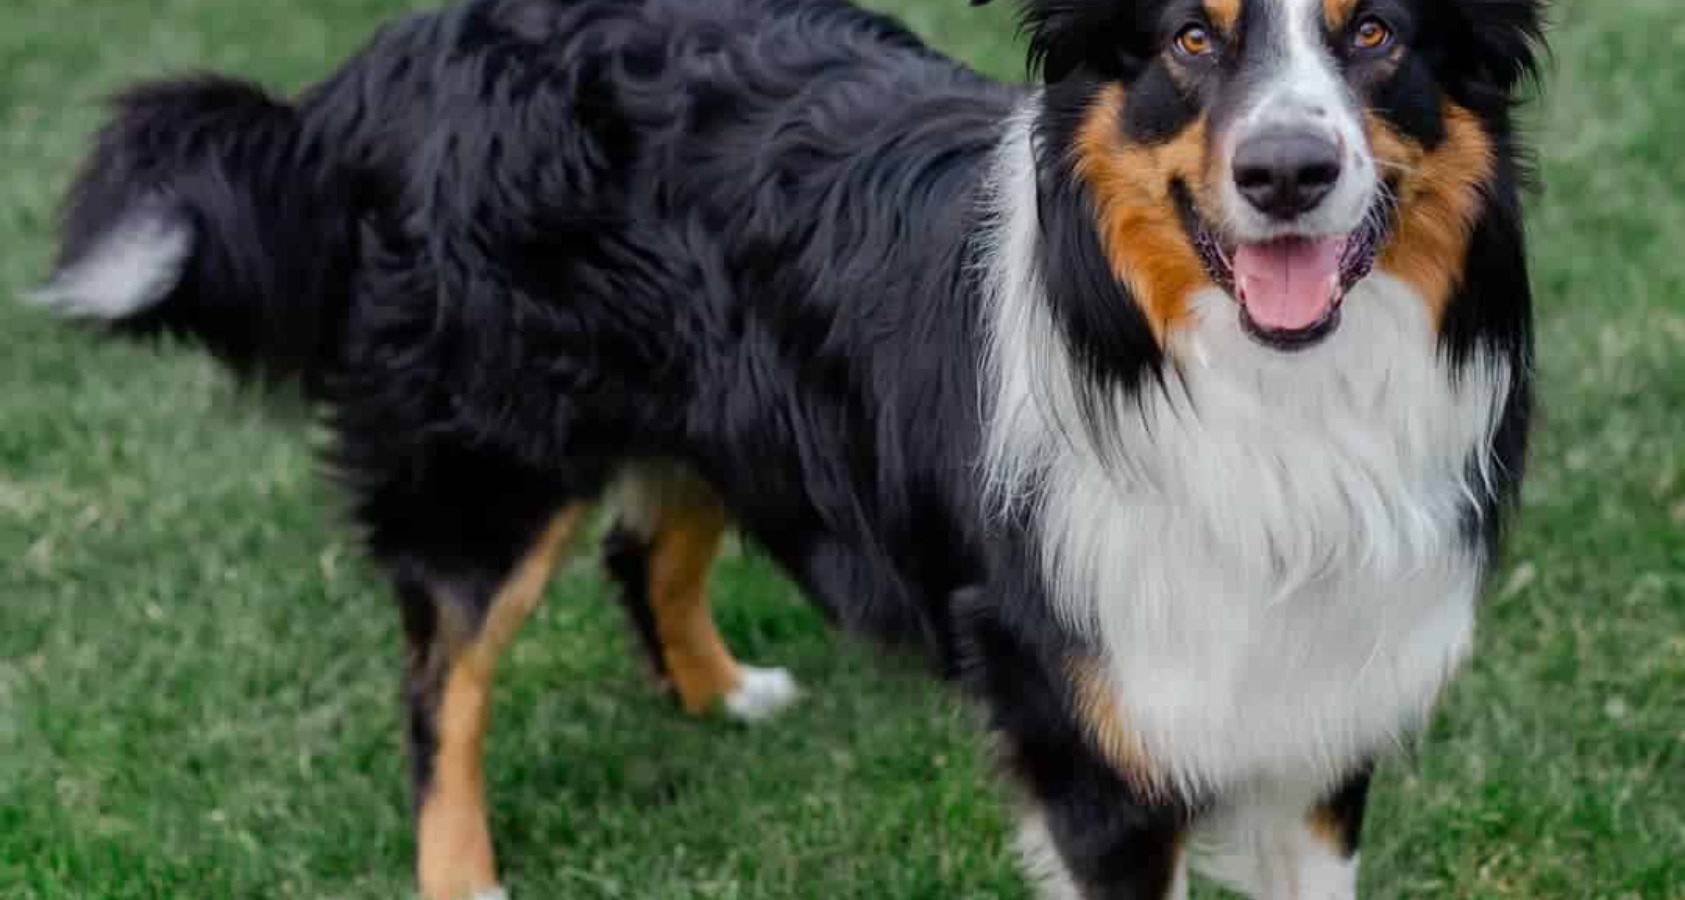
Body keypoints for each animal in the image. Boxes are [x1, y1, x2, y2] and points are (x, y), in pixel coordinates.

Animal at [26, 0, 1543, 896]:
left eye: (1372, 33)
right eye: (1188, 39)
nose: (1287, 173)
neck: (1241, 384)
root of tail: (398, 55)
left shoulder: (1318, 708)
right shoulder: (1091, 738)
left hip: (729, 401)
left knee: (646, 544)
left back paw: (720, 694)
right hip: (490, 459)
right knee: (439, 686)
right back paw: (467, 875)